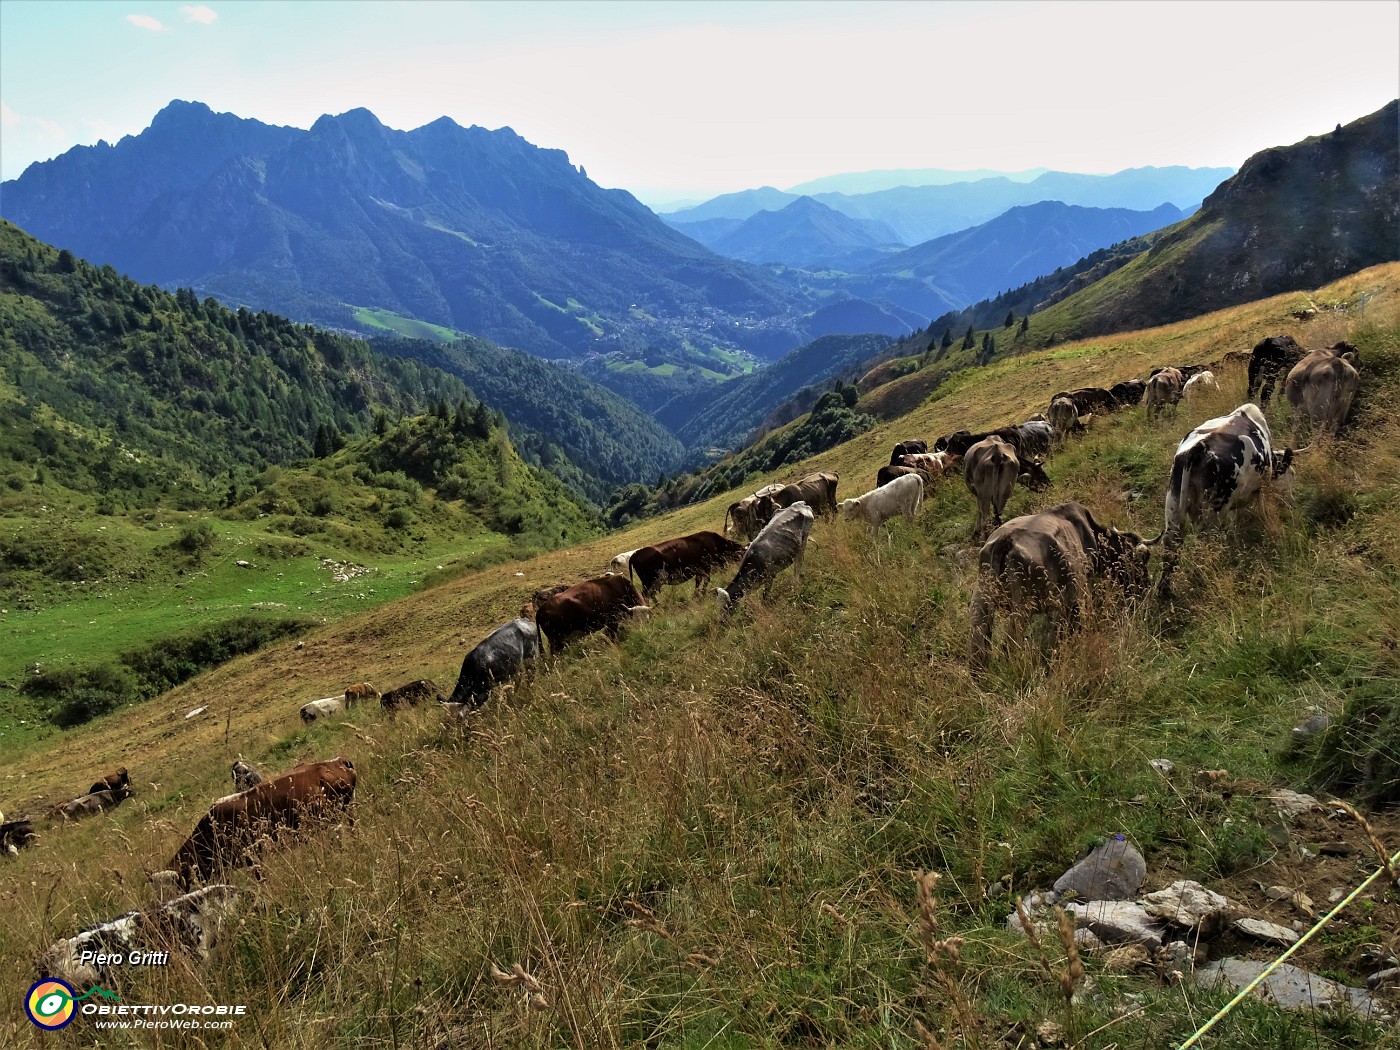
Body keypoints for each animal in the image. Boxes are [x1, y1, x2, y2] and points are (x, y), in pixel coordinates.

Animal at [1153, 406, 1293, 599]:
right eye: (1291, 474)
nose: (1292, 500)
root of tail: (1200, 448)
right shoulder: (1260, 489)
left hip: (1174, 505)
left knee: (1171, 545)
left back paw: (1164, 590)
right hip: (1215, 511)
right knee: (1201, 546)